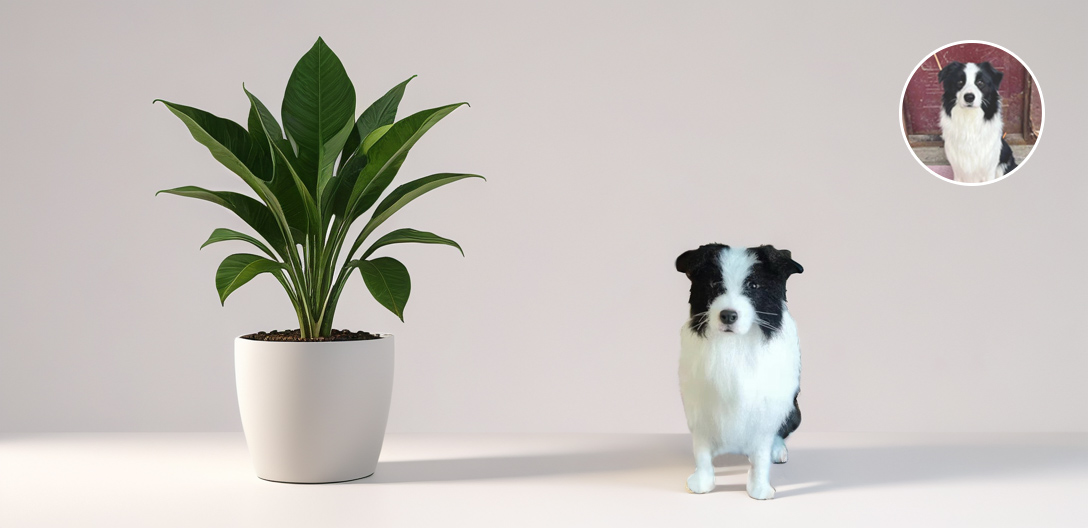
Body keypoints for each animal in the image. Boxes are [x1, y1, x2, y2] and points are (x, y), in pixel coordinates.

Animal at [674, 242, 805, 498]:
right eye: (714, 284)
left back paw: (778, 450)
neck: (734, 344)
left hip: (794, 412)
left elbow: (761, 454)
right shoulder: (700, 407)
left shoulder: (764, 408)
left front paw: (760, 491)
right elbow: (701, 451)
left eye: (753, 286)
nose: (728, 315)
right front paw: (702, 485)